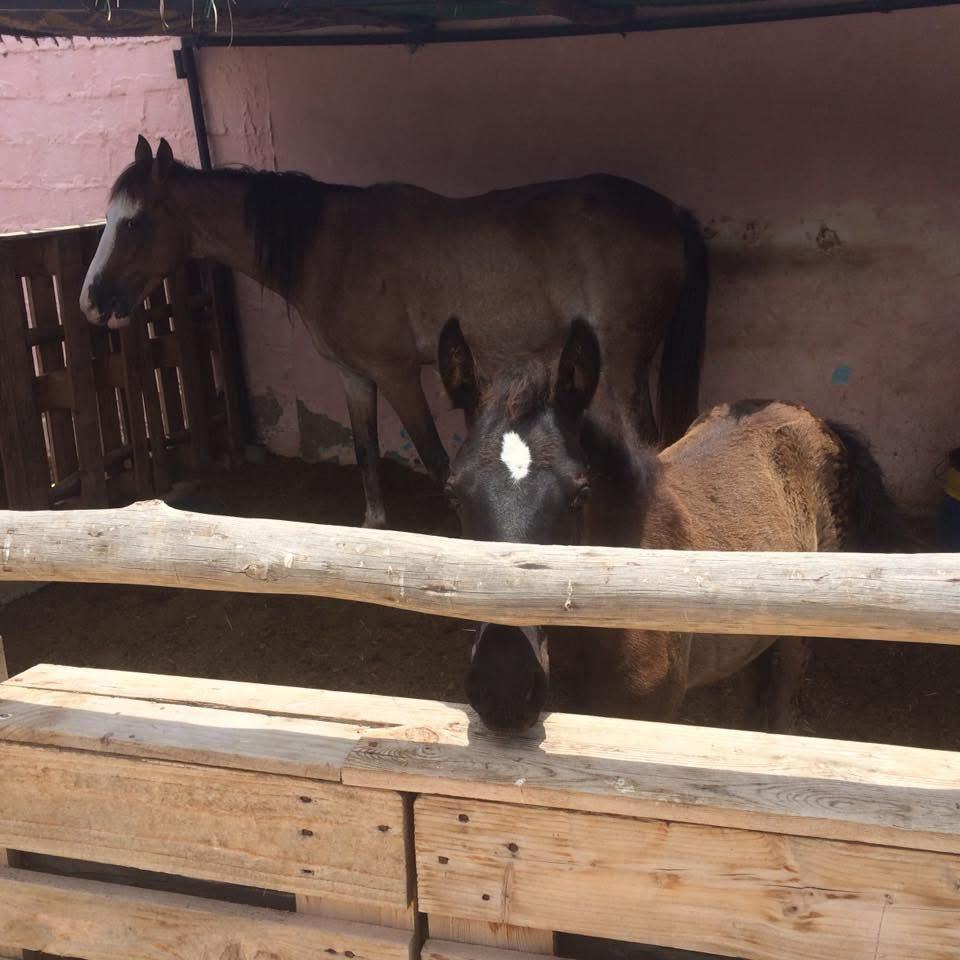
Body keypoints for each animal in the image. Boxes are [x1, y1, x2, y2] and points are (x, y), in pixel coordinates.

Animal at [80, 136, 708, 528]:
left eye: (135, 221)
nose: (91, 301)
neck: (331, 248)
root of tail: (671, 213)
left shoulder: (399, 374)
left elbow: (434, 457)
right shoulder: (354, 377)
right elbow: (365, 450)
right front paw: (375, 526)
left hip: (622, 367)